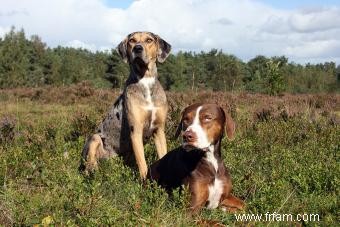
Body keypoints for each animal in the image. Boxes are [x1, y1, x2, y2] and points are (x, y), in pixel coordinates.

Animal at [80, 31, 171, 179]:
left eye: (149, 40)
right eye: (132, 41)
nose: (138, 48)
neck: (145, 80)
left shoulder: (159, 130)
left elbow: (163, 155)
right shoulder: (136, 131)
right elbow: (142, 163)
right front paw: (144, 181)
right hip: (94, 138)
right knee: (89, 166)